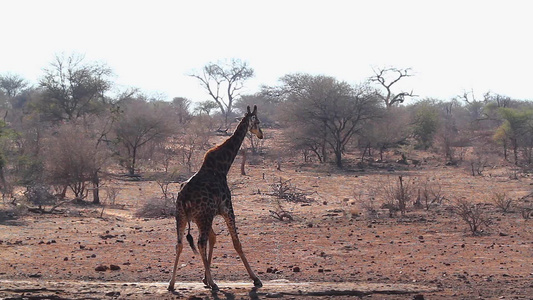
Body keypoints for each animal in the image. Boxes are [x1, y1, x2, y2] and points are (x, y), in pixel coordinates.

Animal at [168, 105, 264, 290]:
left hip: (182, 216)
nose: (261, 134)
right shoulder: (227, 208)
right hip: (202, 217)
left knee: (180, 244)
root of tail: (184, 198)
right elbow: (236, 243)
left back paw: (171, 283)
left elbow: (214, 238)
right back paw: (214, 283)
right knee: (200, 242)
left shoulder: (207, 215)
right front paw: (255, 279)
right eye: (257, 121)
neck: (223, 166)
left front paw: (205, 278)